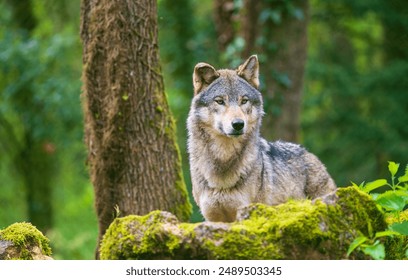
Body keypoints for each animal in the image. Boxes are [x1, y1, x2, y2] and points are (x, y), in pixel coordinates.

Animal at [186, 54, 336, 221]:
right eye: (220, 101)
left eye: (244, 101)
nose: (238, 124)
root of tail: (309, 153)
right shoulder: (213, 219)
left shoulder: (247, 212)